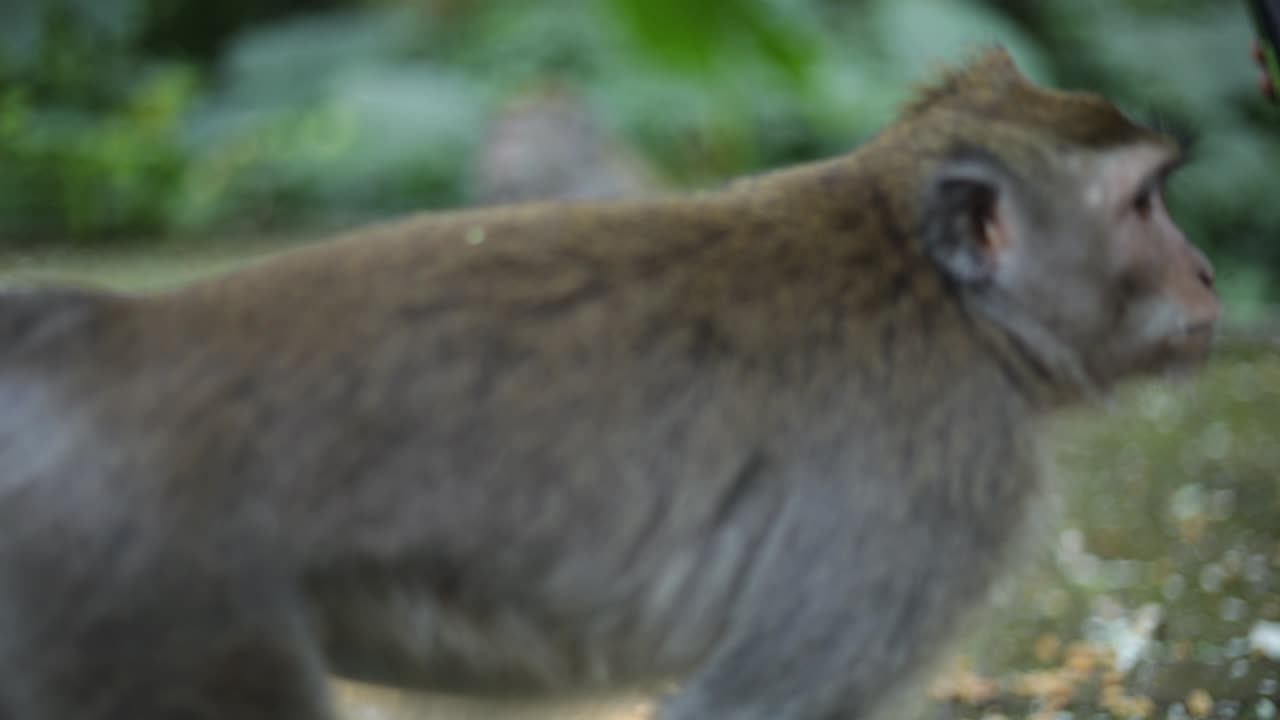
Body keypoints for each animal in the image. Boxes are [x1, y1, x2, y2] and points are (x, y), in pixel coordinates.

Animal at [0, 47, 1218, 720]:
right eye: (1144, 205)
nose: (1207, 271)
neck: (929, 280)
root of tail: (99, 340)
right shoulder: (939, 480)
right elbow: (762, 703)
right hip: (157, 612)